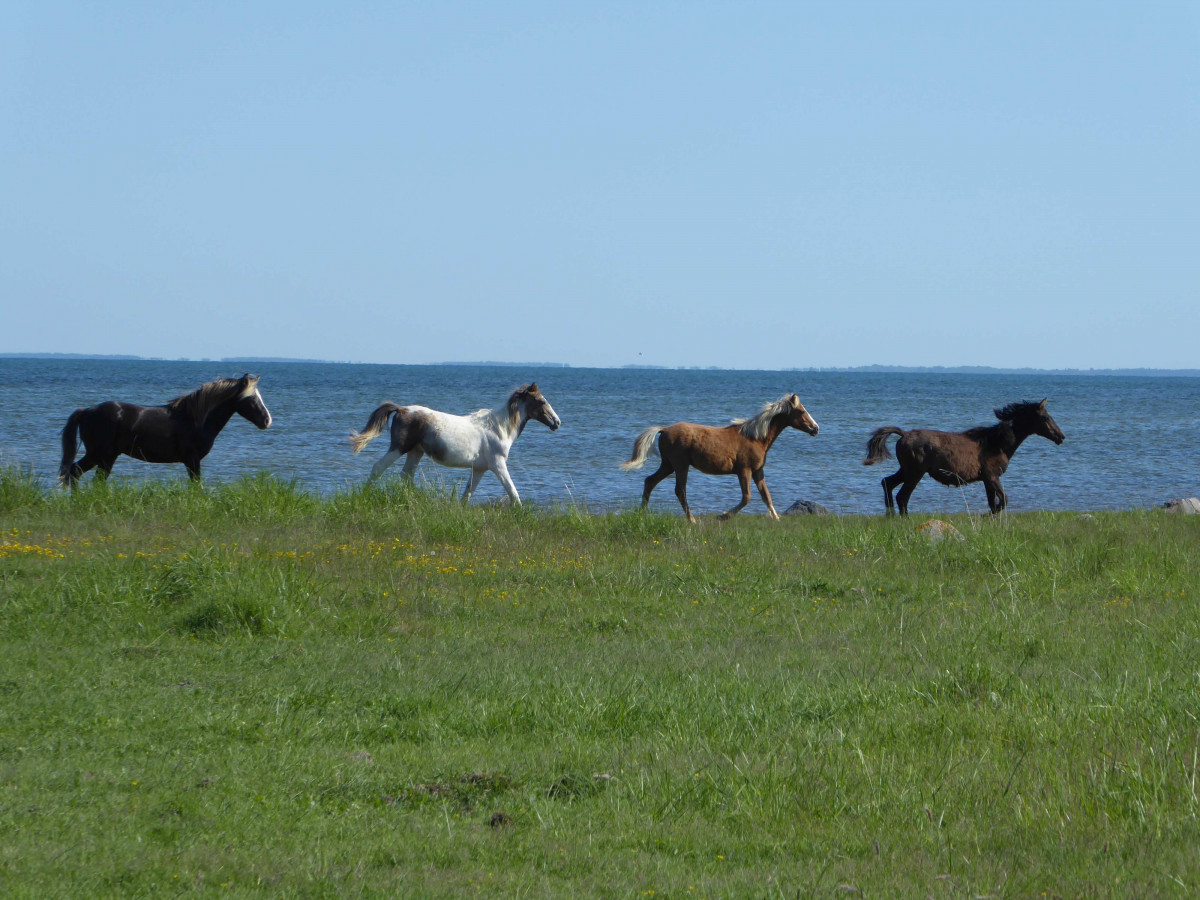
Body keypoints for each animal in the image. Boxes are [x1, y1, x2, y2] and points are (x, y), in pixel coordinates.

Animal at [59, 374, 273, 486]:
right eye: (251, 399)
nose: (267, 421)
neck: (195, 420)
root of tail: (87, 411)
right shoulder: (192, 459)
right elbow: (196, 485)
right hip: (101, 454)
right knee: (77, 472)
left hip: (105, 456)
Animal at [348, 383, 561, 504]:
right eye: (542, 401)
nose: (557, 422)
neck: (498, 428)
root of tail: (401, 409)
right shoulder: (498, 464)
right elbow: (512, 491)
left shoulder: (480, 469)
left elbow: (468, 493)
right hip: (399, 448)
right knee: (378, 468)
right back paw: (364, 495)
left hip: (416, 452)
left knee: (406, 476)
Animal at [621, 394, 819, 523]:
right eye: (802, 411)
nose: (815, 428)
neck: (755, 438)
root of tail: (664, 430)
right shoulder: (744, 470)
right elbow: (746, 497)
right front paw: (722, 516)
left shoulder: (757, 471)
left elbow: (766, 496)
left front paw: (776, 518)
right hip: (680, 466)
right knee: (679, 490)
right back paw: (692, 520)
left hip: (668, 465)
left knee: (650, 481)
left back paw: (642, 513)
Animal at [862, 399, 1065, 516]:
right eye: (1045, 417)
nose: (1061, 437)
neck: (999, 442)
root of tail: (903, 434)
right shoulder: (992, 476)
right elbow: (1003, 501)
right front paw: (985, 516)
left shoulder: (987, 480)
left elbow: (993, 503)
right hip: (915, 473)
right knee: (902, 497)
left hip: (905, 470)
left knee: (887, 483)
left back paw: (890, 515)